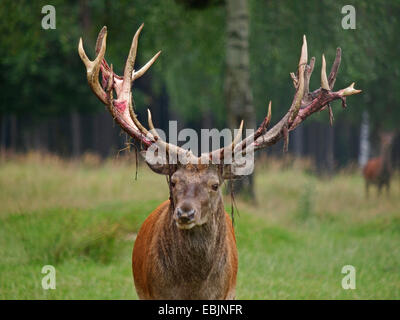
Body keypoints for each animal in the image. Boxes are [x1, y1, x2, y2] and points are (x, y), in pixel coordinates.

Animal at [79, 23, 360, 300]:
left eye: (215, 185)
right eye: (174, 181)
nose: (185, 213)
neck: (192, 290)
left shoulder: (226, 294)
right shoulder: (154, 293)